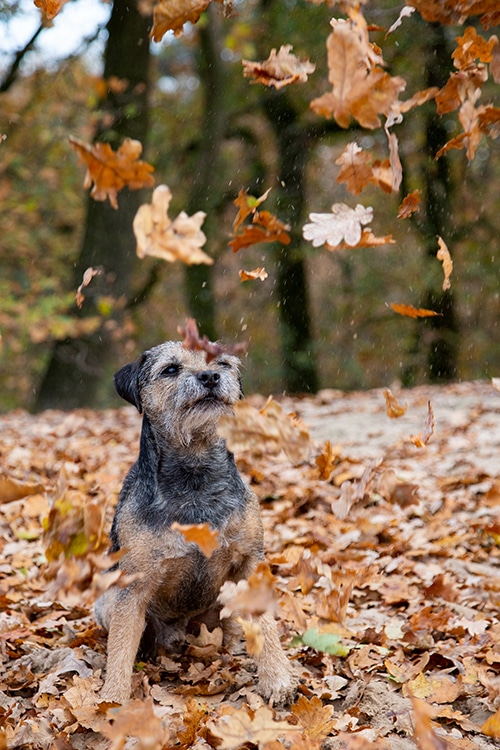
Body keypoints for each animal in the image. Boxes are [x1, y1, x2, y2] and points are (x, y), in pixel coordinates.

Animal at [94, 340, 296, 704]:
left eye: (223, 363)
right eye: (171, 369)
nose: (210, 376)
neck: (195, 476)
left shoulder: (250, 562)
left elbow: (266, 625)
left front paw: (277, 678)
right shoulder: (133, 585)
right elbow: (120, 647)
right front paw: (112, 700)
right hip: (108, 601)